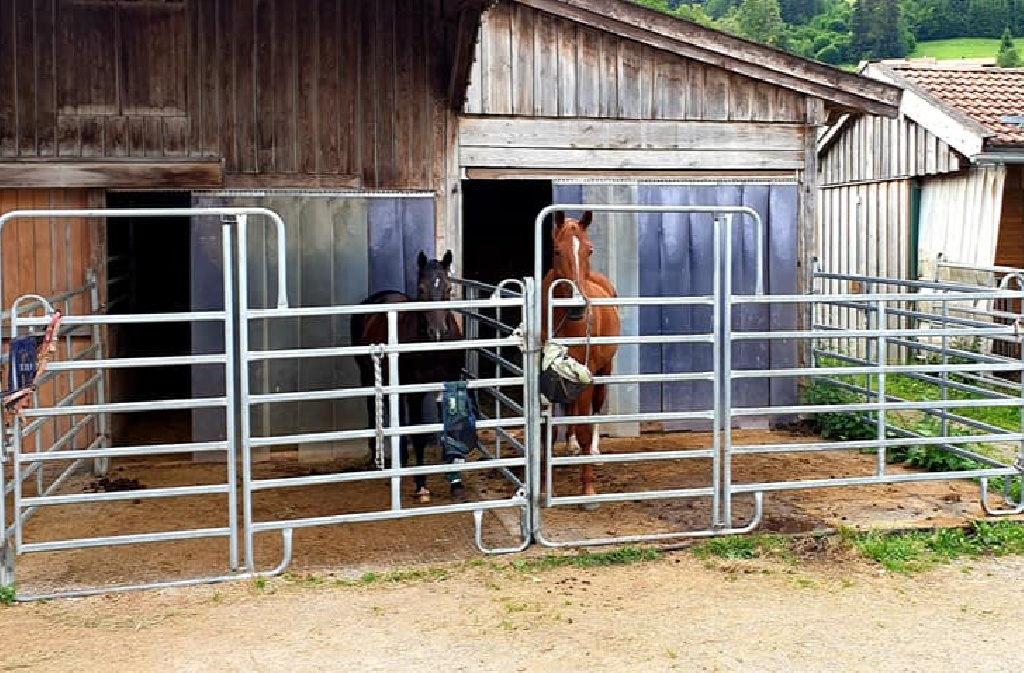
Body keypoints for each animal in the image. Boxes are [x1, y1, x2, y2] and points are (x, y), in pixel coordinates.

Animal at [350, 250, 467, 504]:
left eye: (448, 288)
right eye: (421, 288)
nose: (437, 333)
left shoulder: (447, 385)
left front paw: (456, 483)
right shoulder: (415, 391)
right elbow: (419, 436)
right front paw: (421, 485)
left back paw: (402, 459)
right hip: (368, 375)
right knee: (373, 409)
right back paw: (377, 459)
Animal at [541, 210, 621, 502]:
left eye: (590, 250)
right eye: (556, 250)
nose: (577, 306)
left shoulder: (586, 374)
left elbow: (586, 428)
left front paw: (588, 491)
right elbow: (549, 432)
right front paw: (544, 489)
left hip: (603, 372)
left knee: (594, 411)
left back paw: (594, 452)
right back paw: (571, 444)